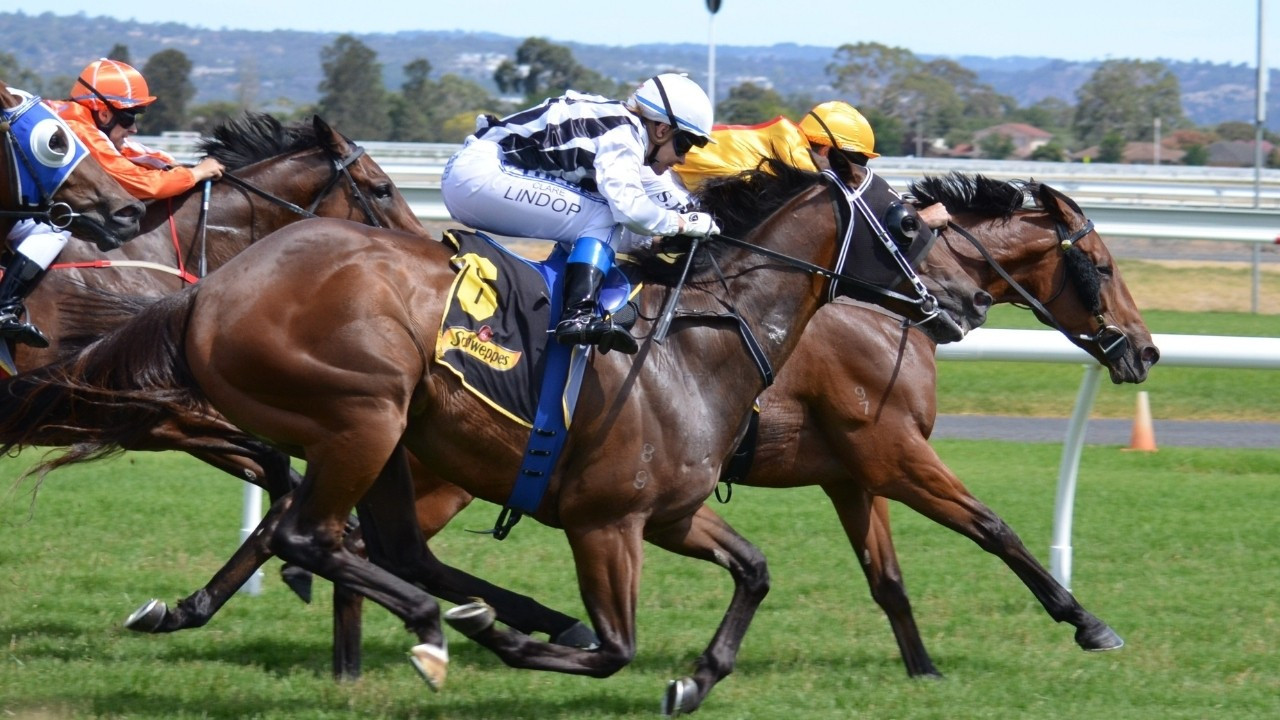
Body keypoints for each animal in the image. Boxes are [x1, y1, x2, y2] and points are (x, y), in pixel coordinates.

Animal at [2, 156, 977, 712]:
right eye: (905, 222)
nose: (957, 304)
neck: (699, 341)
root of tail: (207, 290)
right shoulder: (606, 523)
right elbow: (617, 646)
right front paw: (523, 645)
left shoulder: (668, 514)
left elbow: (755, 570)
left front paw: (696, 677)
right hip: (364, 416)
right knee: (312, 534)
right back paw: (442, 630)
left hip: (382, 441)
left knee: (366, 539)